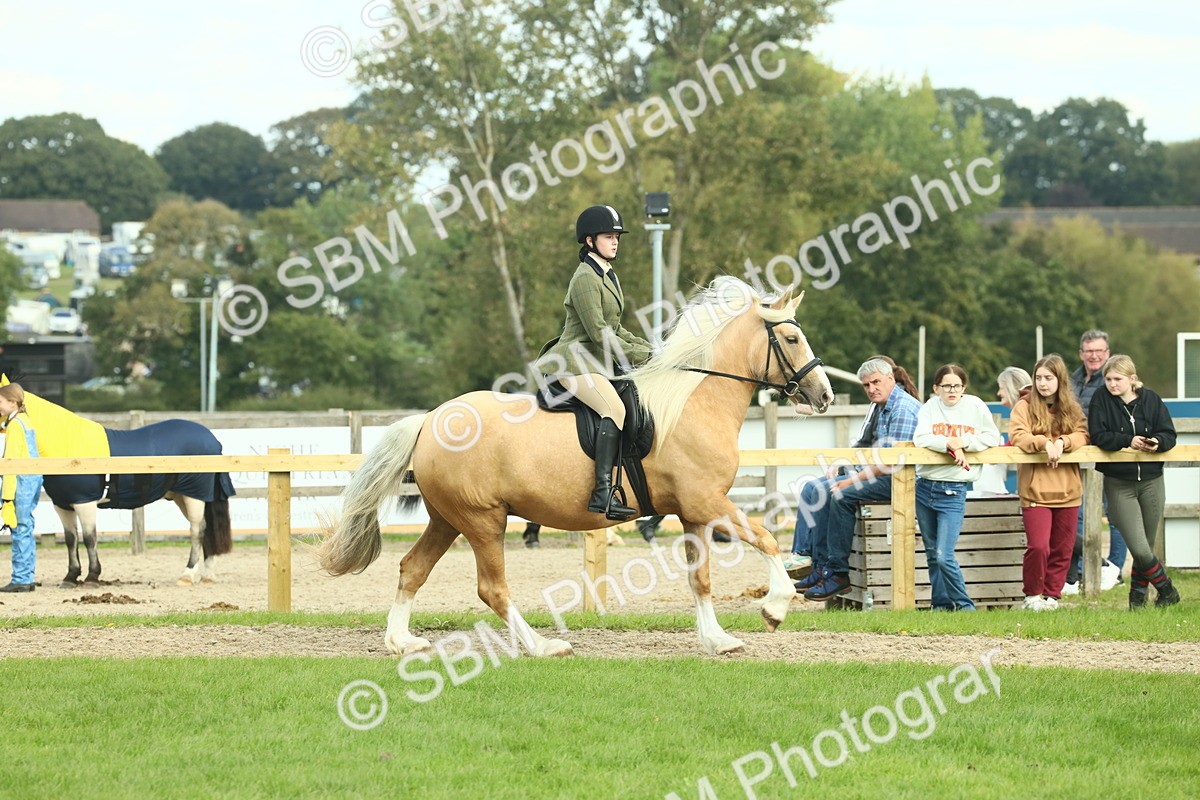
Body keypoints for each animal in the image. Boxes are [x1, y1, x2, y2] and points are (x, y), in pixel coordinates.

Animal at [0, 375, 235, 586]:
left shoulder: (85, 503)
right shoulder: (63, 505)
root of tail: (212, 439)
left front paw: (92, 577)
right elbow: (71, 539)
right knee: (207, 530)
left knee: (198, 530)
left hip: (194, 495)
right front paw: (70, 577)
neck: (69, 448)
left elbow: (89, 538)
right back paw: (206, 575)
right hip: (182, 496)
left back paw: (187, 575)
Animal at [318, 277, 834, 656]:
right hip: (483, 521)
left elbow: (700, 578)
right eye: (791, 337)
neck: (695, 402)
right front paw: (774, 609)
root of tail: (430, 420)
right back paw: (543, 647)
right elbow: (767, 539)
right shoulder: (707, 502)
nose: (825, 395)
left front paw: (717, 640)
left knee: (412, 568)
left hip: (448, 518)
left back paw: (401, 642)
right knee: (492, 589)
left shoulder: (694, 512)